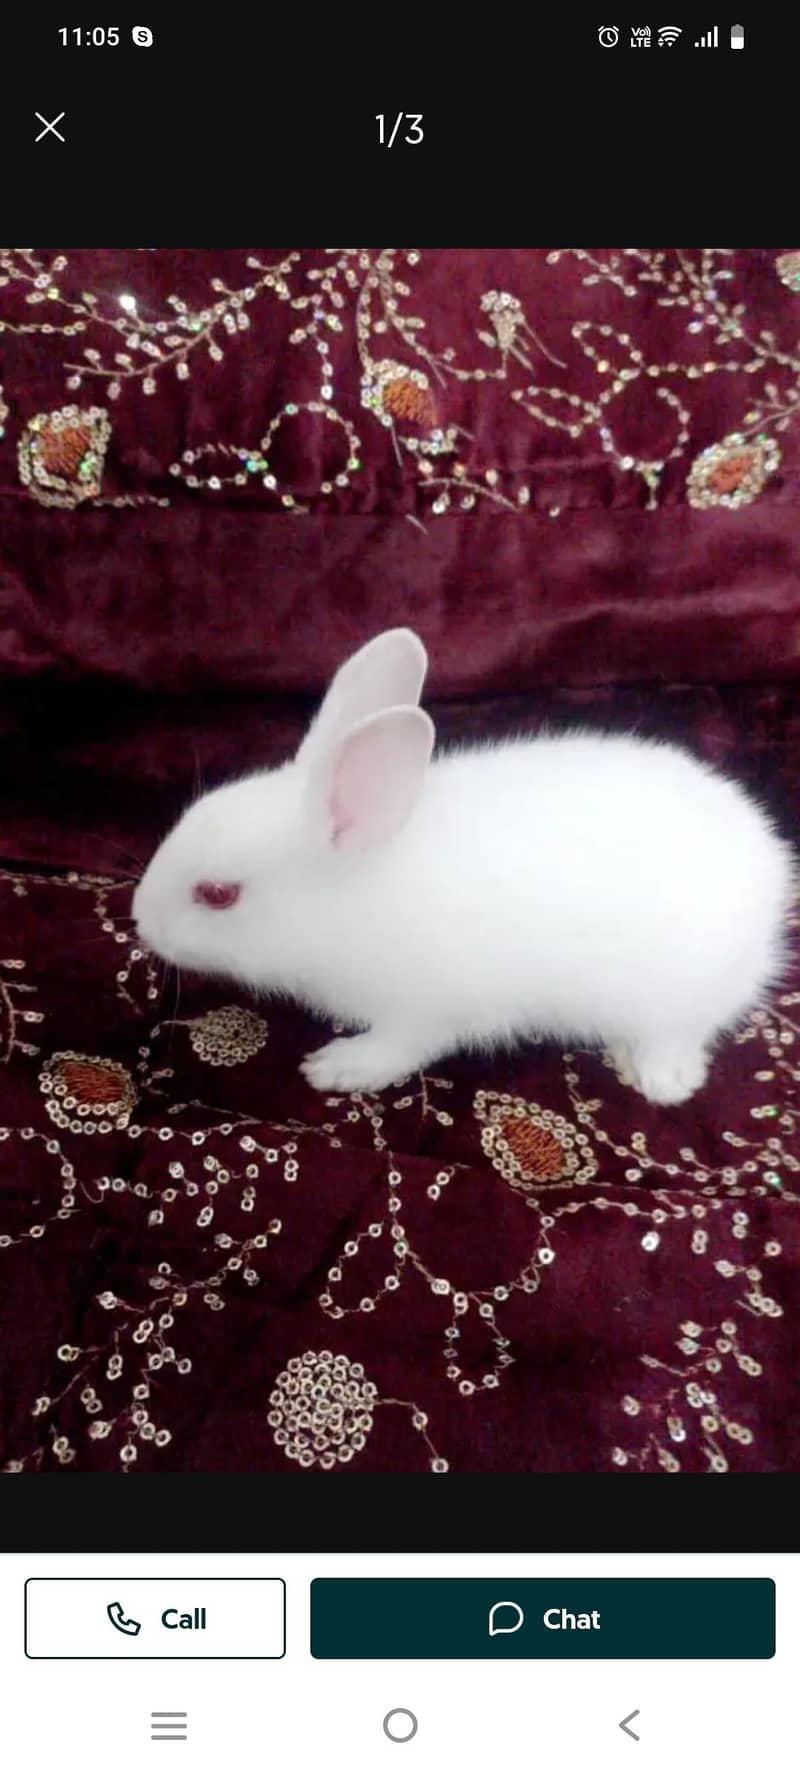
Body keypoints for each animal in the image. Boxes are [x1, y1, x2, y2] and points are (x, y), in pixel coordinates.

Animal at [133, 627, 797, 1104]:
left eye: (218, 894)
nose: (140, 921)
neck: (352, 893)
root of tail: (767, 859)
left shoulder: (423, 1011)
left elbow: (398, 1049)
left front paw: (337, 1068)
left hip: (678, 989)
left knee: (685, 1031)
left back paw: (658, 1078)